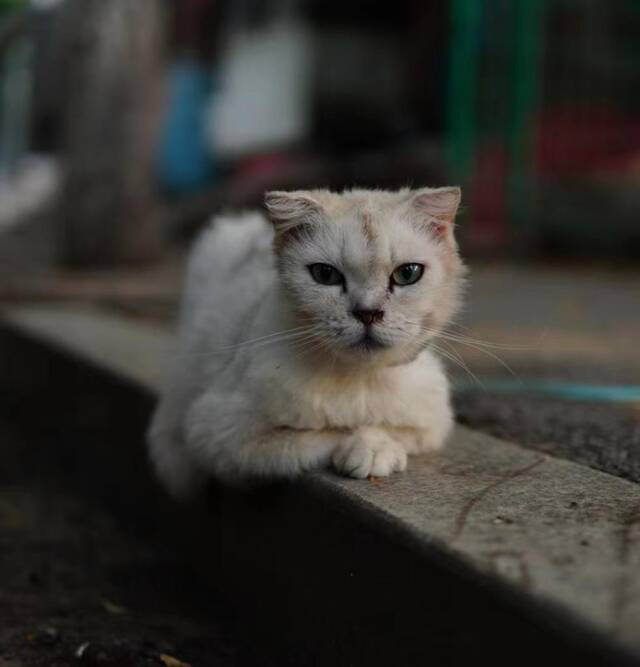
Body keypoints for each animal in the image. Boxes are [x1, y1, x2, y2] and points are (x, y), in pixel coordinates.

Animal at [151, 185, 470, 498]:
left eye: (407, 273)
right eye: (325, 274)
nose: (367, 313)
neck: (357, 380)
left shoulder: (433, 423)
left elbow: (393, 428)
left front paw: (375, 445)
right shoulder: (219, 437)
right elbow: (316, 436)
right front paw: (363, 447)